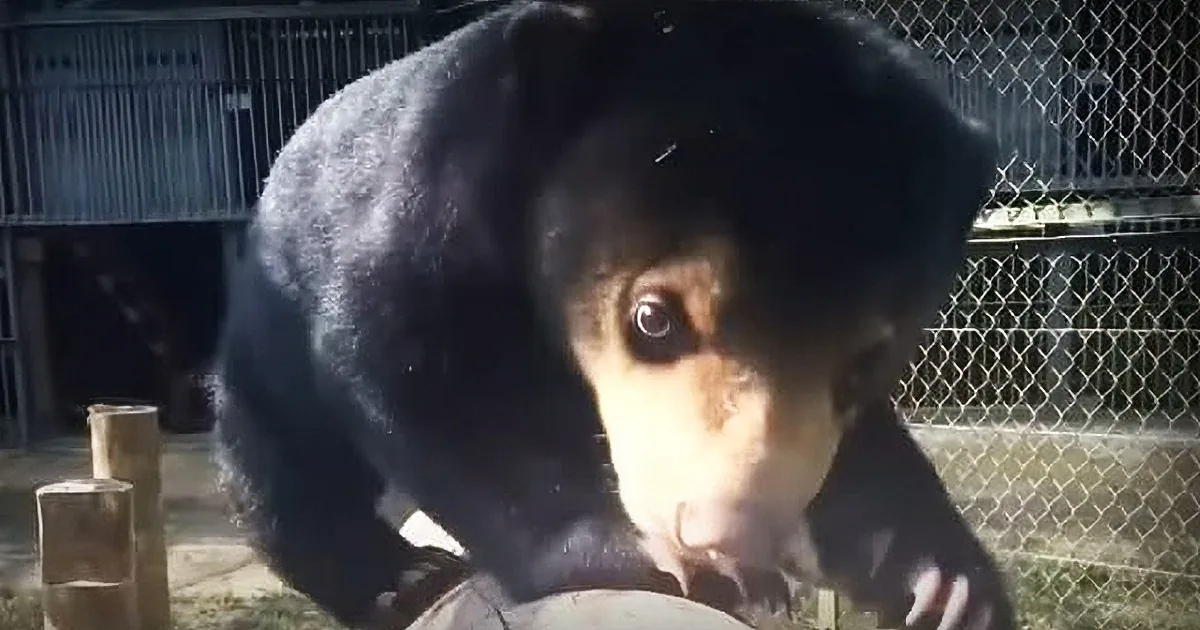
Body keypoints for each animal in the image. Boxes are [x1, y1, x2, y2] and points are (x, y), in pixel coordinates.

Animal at [207, 1, 1013, 629]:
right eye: (654, 318)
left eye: (864, 364)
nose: (727, 536)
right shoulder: (423, 216)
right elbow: (419, 380)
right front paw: (667, 566)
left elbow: (867, 458)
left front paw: (947, 587)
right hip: (261, 339)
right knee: (277, 459)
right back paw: (399, 578)